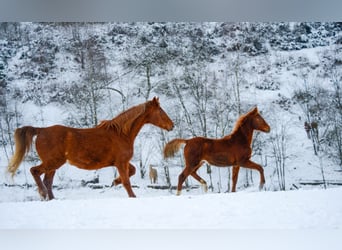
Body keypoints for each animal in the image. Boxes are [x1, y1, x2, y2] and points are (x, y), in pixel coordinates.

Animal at [8, 96, 174, 200]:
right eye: (160, 111)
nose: (172, 126)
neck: (121, 134)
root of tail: (41, 130)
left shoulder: (122, 162)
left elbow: (131, 172)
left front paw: (115, 181)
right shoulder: (121, 162)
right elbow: (127, 181)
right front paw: (132, 196)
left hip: (53, 165)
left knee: (47, 181)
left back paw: (51, 198)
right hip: (53, 162)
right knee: (35, 171)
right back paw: (43, 194)